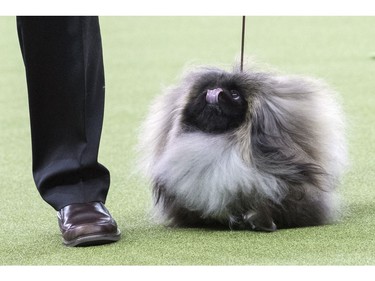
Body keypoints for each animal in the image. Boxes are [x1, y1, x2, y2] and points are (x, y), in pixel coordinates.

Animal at [140, 64, 348, 232]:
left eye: (235, 94)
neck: (221, 142)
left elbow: (263, 207)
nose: (214, 92)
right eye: (204, 90)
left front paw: (260, 222)